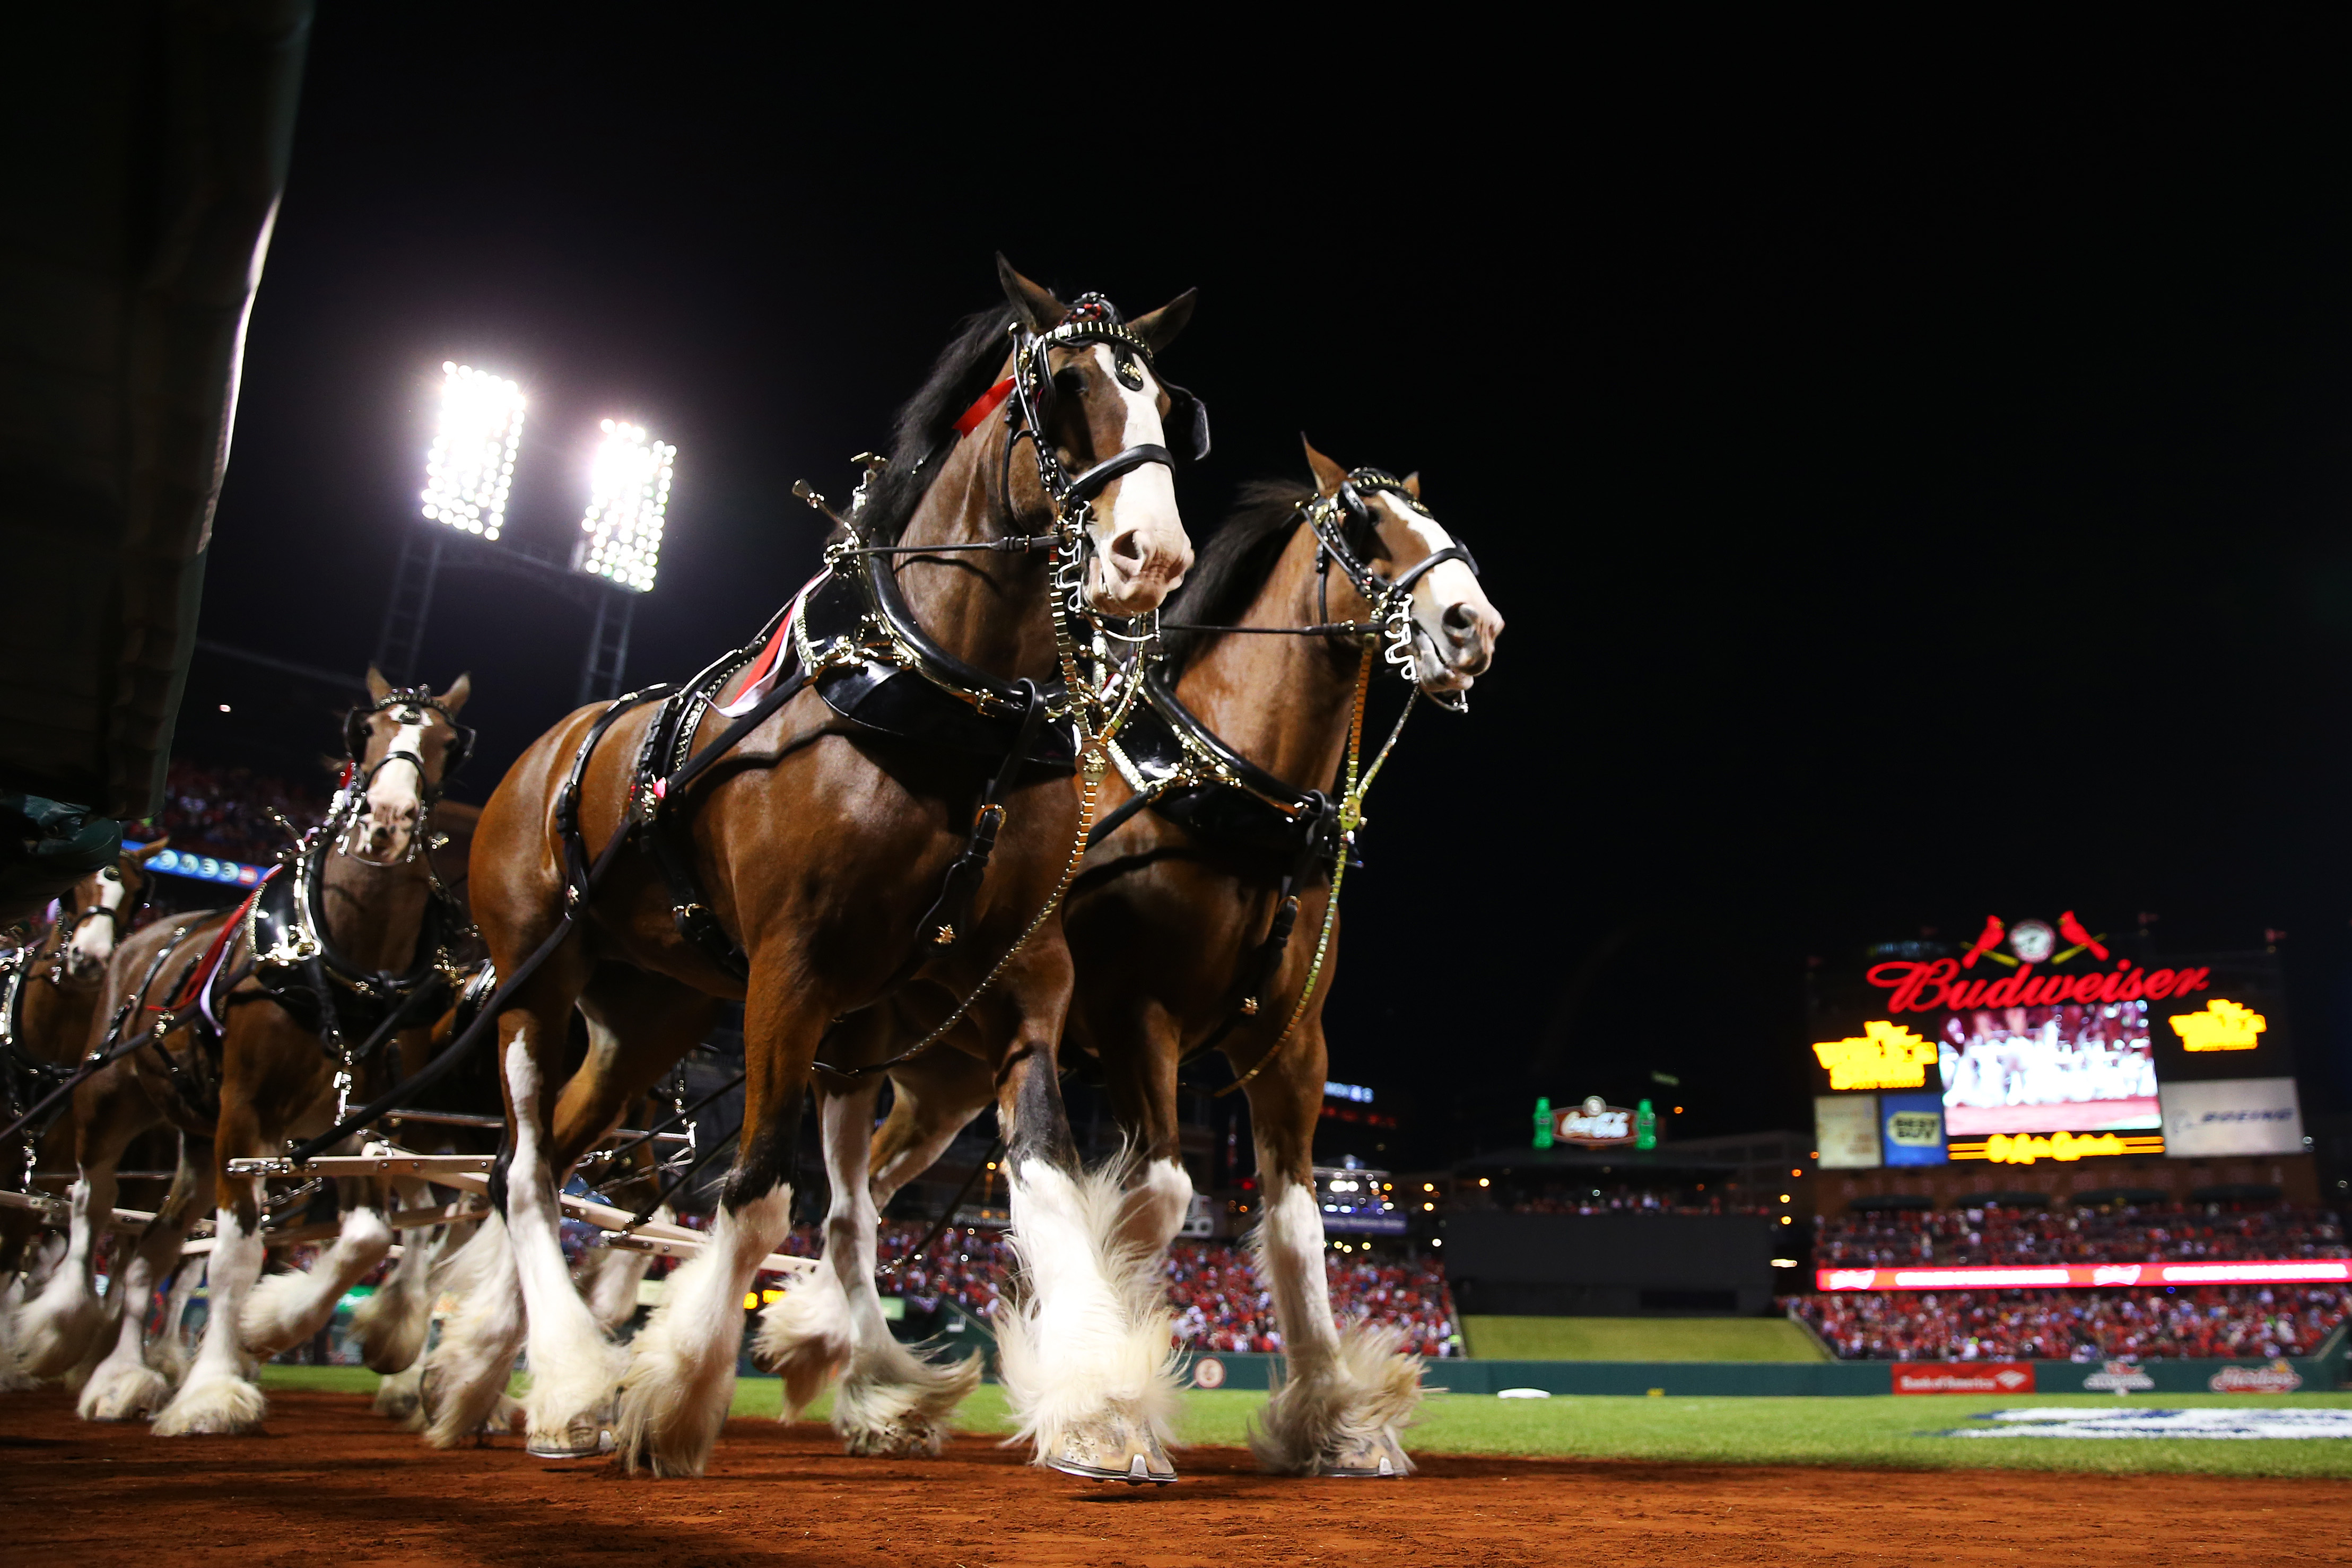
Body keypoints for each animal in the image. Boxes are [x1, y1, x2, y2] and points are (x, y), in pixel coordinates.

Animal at [12, 667, 482, 1429]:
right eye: (365, 732)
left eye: (448, 743)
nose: (387, 820)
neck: (346, 961)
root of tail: (155, 935)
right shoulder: (249, 1107)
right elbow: (235, 1254)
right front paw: (212, 1388)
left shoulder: (357, 1124)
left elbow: (366, 1238)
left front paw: (283, 1328)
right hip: (110, 1103)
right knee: (87, 1209)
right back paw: (64, 1334)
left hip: (199, 1136)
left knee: (149, 1252)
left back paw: (122, 1375)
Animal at [419, 263, 1195, 1476]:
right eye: (1063, 388)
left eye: (1165, 401)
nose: (1150, 557)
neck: (935, 706)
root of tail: (555, 743)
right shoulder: (795, 973)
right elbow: (759, 1193)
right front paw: (679, 1394)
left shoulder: (1012, 985)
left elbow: (1028, 1182)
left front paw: (1091, 1402)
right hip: (532, 988)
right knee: (530, 1171)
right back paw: (569, 1378)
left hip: (649, 1015)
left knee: (546, 1158)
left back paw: (495, 1375)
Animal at [771, 439, 1505, 1485]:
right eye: (1364, 525)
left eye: (1441, 529)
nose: (1471, 624)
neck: (1222, 794)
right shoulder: (1134, 1020)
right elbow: (1154, 1198)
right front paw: (1102, 1364)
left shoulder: (1291, 1050)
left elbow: (1298, 1228)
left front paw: (1333, 1418)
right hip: (845, 1034)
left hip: (945, 1083)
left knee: (868, 1190)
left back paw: (841, 1356)